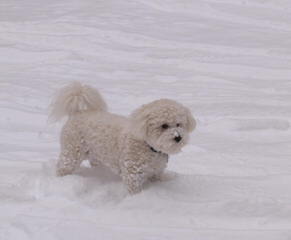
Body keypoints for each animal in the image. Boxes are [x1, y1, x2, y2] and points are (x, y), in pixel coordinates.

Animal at [50, 82, 196, 193]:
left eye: (179, 124)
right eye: (164, 126)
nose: (178, 137)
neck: (148, 145)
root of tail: (76, 114)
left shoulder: (156, 171)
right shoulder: (133, 173)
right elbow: (134, 189)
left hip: (96, 154)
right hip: (72, 152)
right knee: (63, 167)